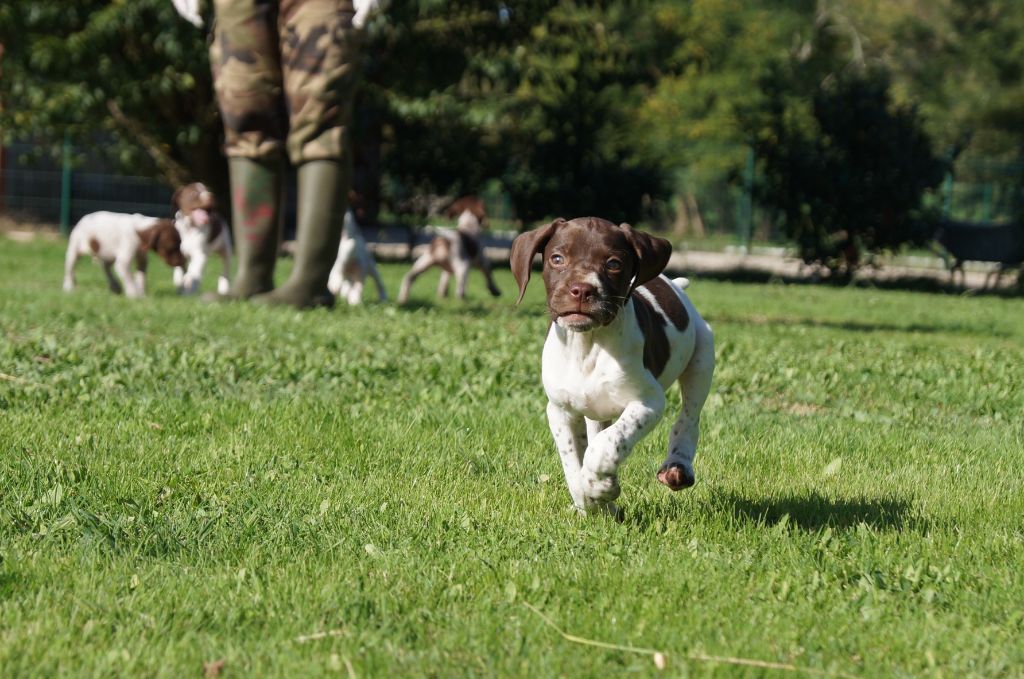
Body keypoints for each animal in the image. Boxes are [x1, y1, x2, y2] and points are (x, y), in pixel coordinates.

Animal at [509, 220, 716, 518]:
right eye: (557, 259)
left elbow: (605, 444)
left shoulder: (648, 402)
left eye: (613, 264)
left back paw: (677, 466)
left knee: (688, 418)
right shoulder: (560, 411)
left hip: (701, 358)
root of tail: (675, 285)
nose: (582, 290)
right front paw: (594, 500)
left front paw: (601, 485)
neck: (587, 345)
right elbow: (574, 465)